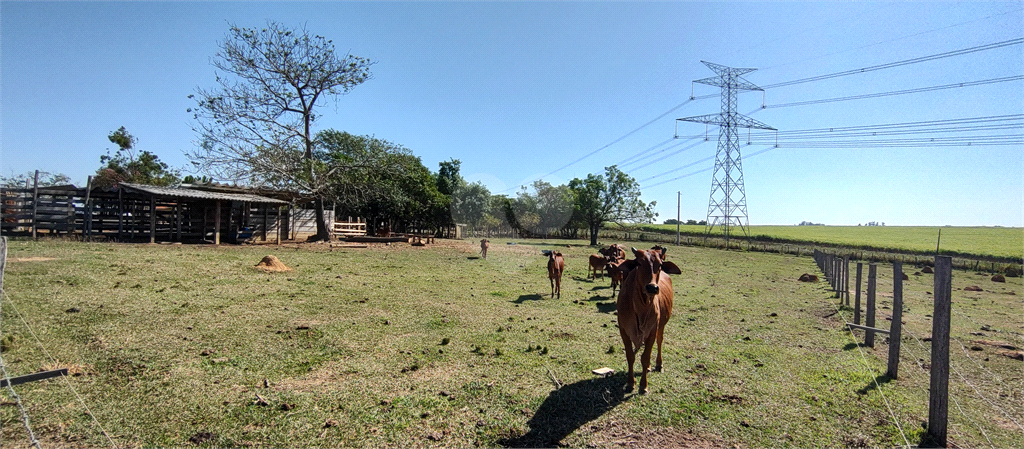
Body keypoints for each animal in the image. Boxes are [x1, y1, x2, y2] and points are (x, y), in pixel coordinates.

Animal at [614, 246, 679, 393]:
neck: (641, 308)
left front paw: (643, 385)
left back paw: (658, 364)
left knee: (659, 341)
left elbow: (645, 357)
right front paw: (630, 383)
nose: (652, 287)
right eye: (638, 263)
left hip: (661, 326)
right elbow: (630, 356)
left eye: (659, 265)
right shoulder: (624, 330)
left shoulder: (652, 330)